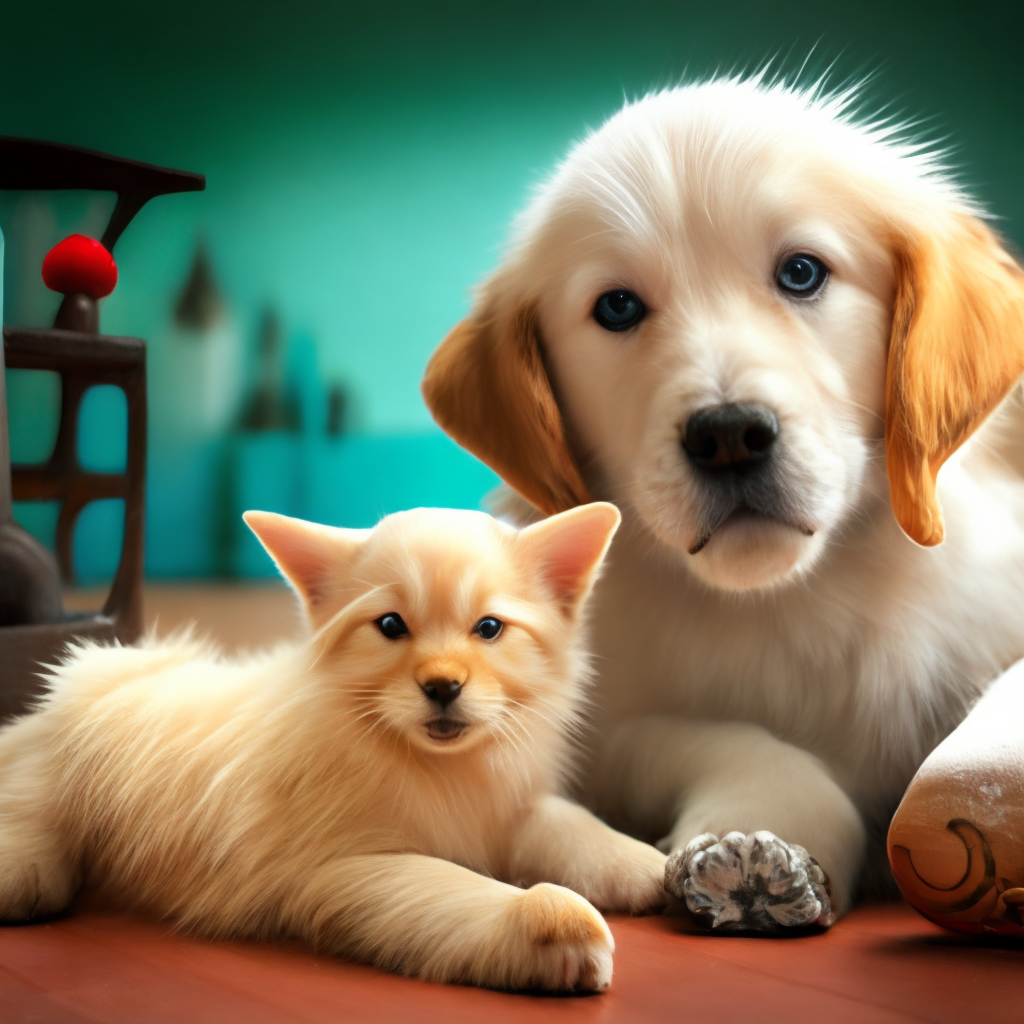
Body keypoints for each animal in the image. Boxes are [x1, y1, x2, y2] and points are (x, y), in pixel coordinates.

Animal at [0, 503, 663, 991]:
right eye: (391, 626)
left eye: (490, 629)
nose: (442, 687)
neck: (429, 764)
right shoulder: (345, 868)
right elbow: (466, 891)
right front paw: (556, 923)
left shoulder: (507, 810)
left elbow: (571, 824)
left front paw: (652, 867)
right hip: (41, 818)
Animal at [419, 75, 1024, 933]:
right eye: (617, 308)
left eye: (802, 272)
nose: (729, 437)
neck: (783, 606)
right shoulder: (596, 728)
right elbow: (720, 738)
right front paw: (755, 846)